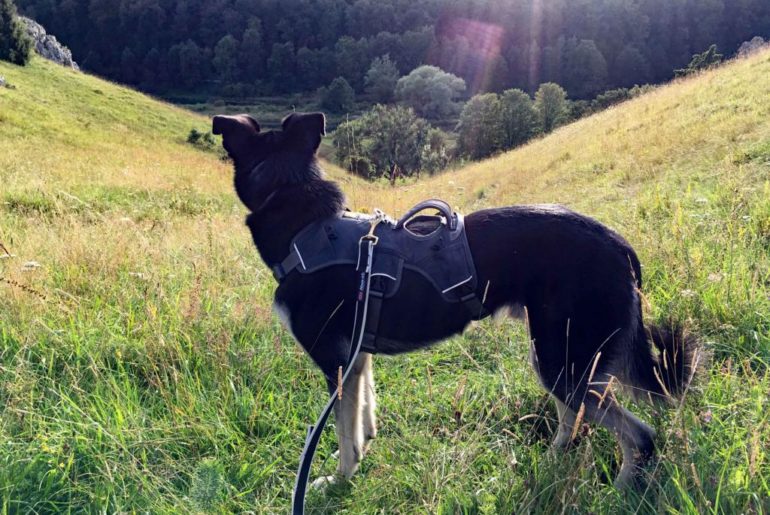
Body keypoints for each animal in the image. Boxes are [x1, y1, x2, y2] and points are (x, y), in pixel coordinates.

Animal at [213, 111, 700, 490]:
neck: (304, 224)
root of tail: (621, 247)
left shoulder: (335, 362)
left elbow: (343, 432)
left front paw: (339, 479)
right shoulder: (357, 359)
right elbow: (363, 414)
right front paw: (364, 448)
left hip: (562, 360)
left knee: (639, 435)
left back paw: (620, 487)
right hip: (559, 354)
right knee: (574, 419)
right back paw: (549, 462)